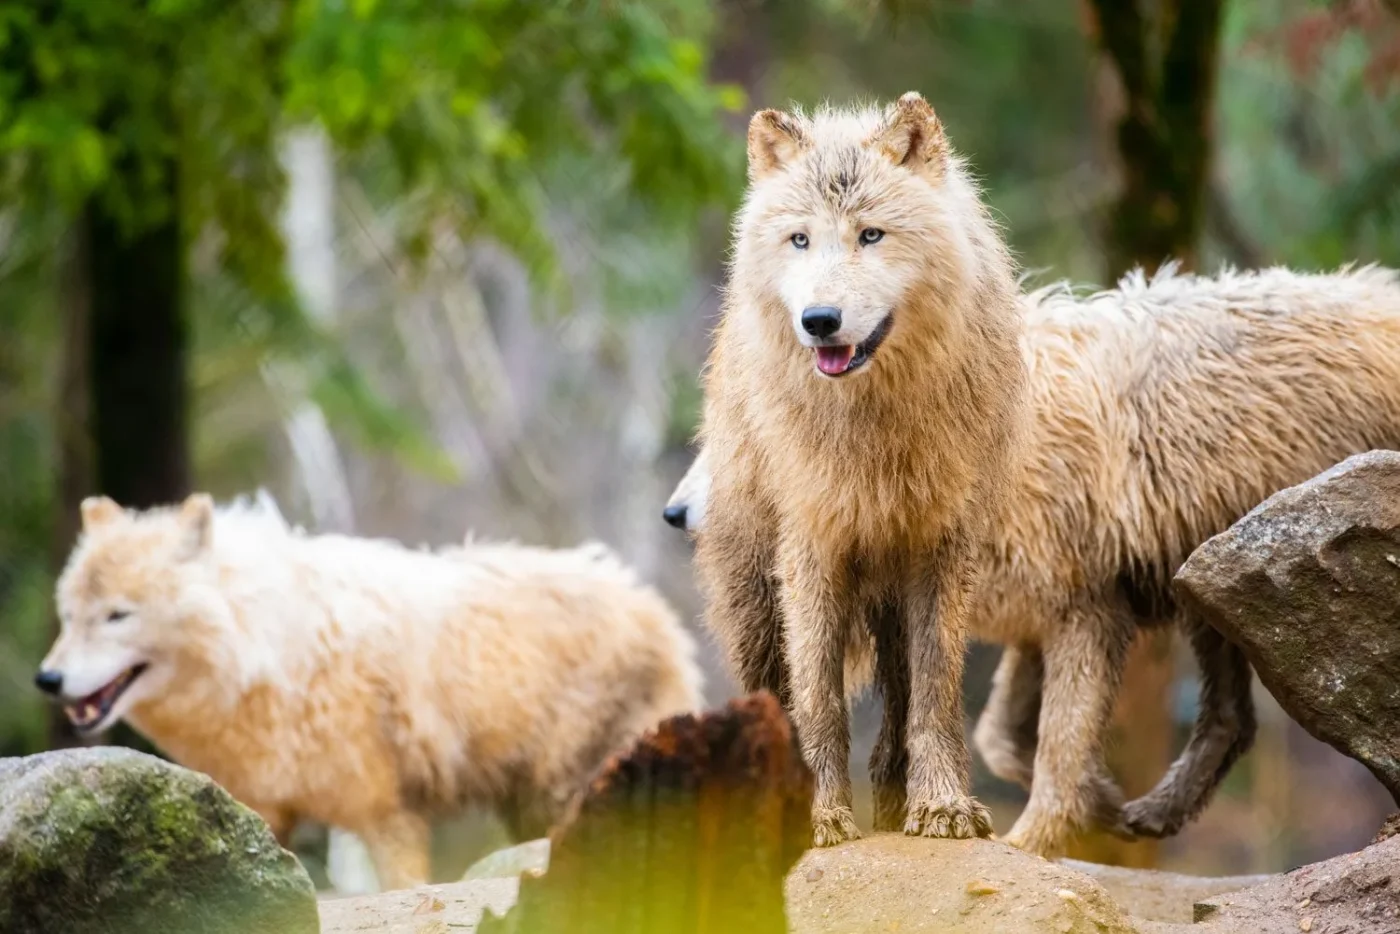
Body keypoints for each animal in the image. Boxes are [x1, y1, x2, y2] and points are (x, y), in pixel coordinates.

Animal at [37, 491, 703, 889]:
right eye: (69, 616)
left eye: (118, 616)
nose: (48, 679)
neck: (270, 653)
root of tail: (656, 610)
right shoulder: (262, 817)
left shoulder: (389, 818)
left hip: (565, 794)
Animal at [671, 262, 1400, 855]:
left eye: (739, 453)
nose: (674, 515)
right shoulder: (1035, 622)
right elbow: (1004, 737)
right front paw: (1100, 800)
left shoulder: (1085, 611)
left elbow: (1055, 743)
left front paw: (1033, 840)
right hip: (1205, 586)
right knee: (1233, 721)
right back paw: (1154, 811)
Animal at [695, 92, 1030, 847]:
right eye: (800, 241)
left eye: (871, 236)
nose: (820, 320)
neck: (873, 435)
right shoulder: (813, 543)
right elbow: (817, 697)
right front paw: (820, 816)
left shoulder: (941, 545)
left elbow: (935, 693)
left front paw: (942, 804)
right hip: (756, 597)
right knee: (773, 689)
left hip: (890, 589)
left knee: (900, 699)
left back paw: (897, 798)